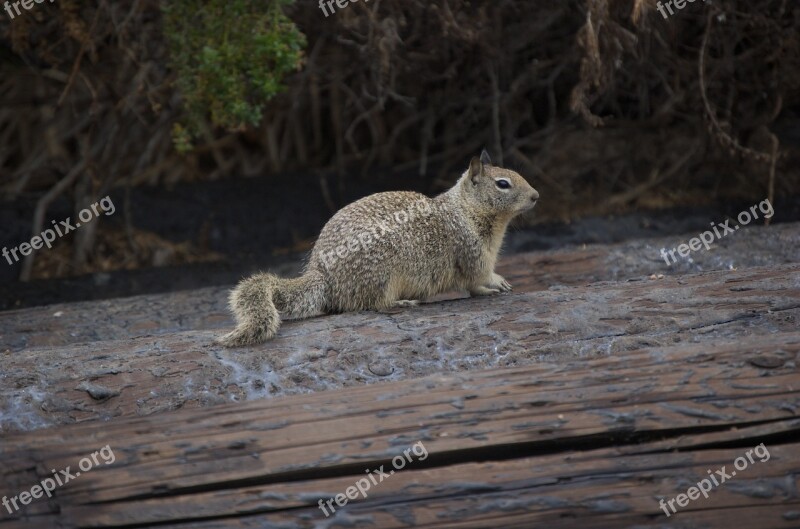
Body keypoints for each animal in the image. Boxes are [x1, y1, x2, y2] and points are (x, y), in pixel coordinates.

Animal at [220, 148, 536, 346]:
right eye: (503, 183)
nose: (536, 196)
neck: (467, 209)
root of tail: (322, 275)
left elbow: (473, 286)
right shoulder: (472, 252)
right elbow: (479, 278)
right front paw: (498, 283)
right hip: (383, 273)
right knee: (373, 304)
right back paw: (401, 302)